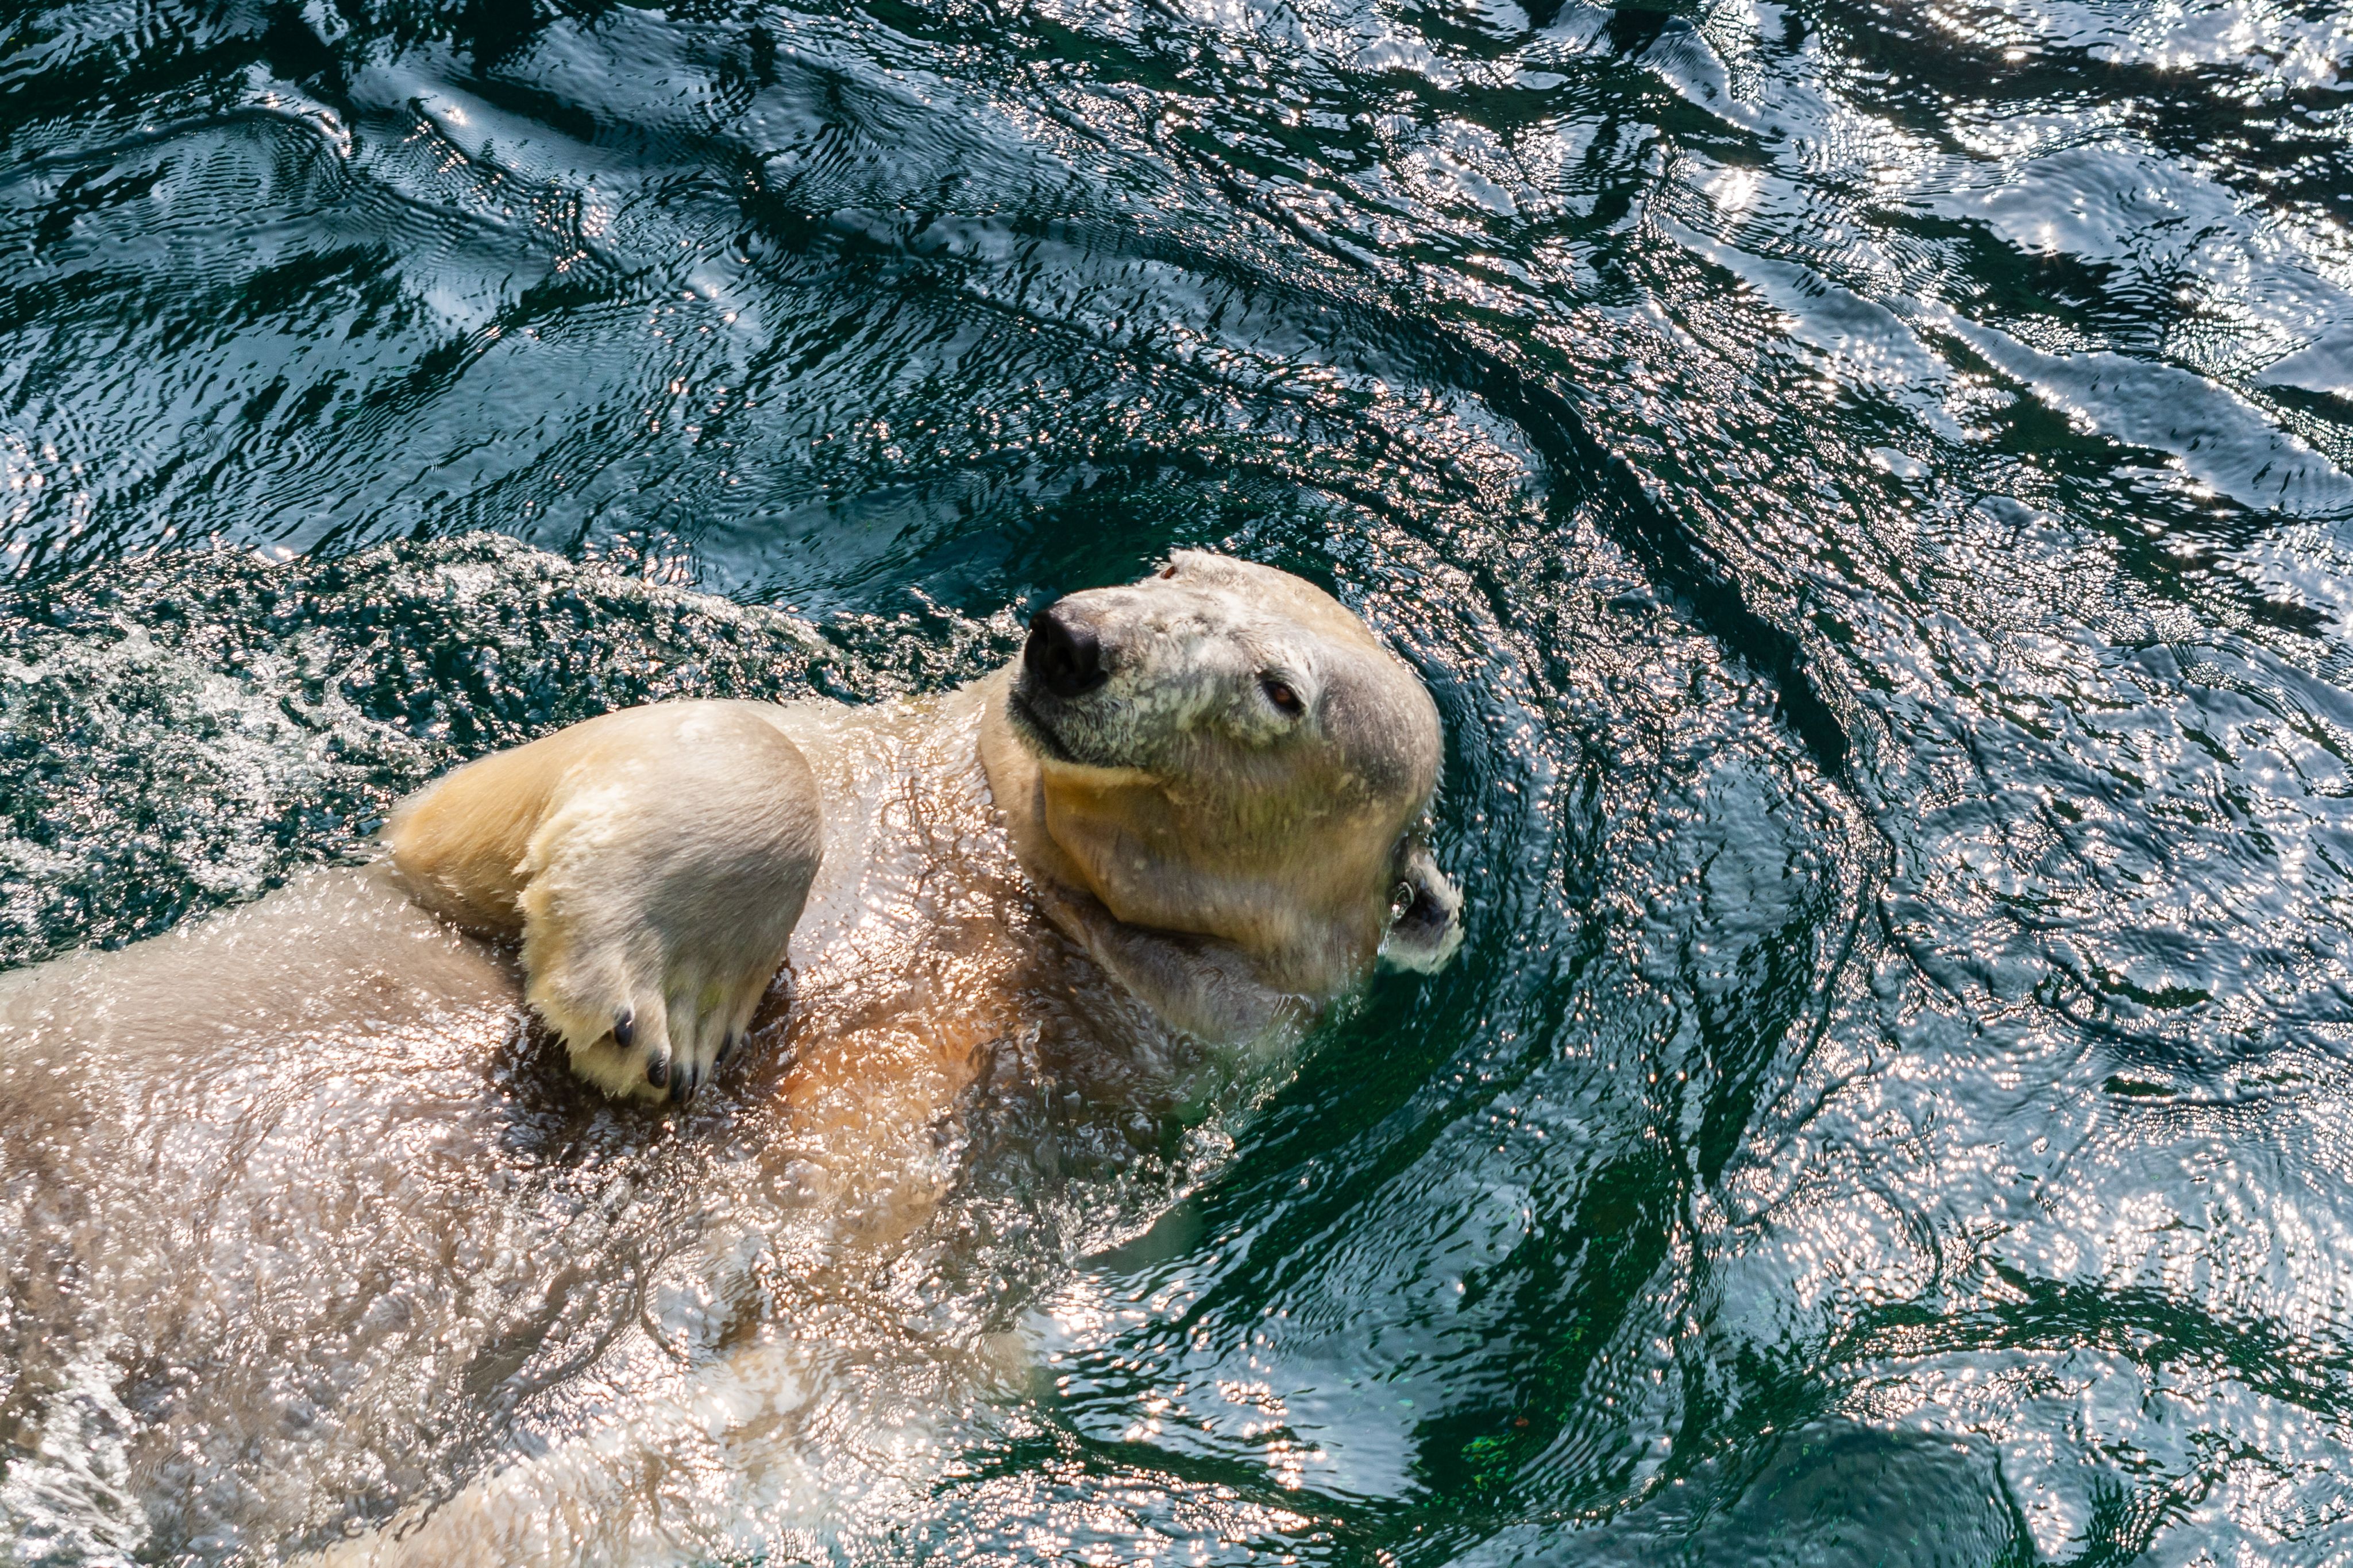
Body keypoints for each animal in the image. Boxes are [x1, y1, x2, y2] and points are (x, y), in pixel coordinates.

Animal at [0, 550, 1460, 1563]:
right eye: (1170, 569)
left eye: (1279, 691)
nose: (1071, 643)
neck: (1033, 904)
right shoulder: (877, 769)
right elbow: (597, 779)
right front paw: (650, 1002)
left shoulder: (1053, 1201)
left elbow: (757, 1415)